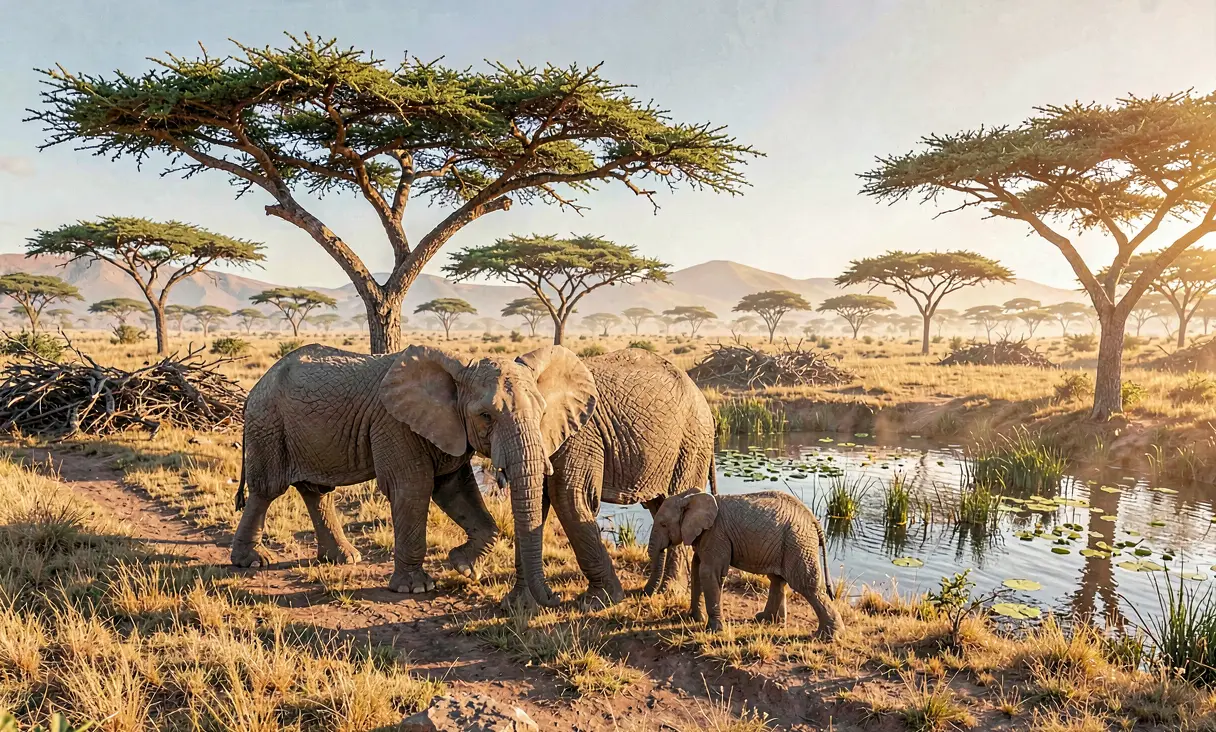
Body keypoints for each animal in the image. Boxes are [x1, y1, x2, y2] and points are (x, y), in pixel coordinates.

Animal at [231, 344, 501, 594]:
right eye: (485, 415)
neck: (458, 367)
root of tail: (253, 390)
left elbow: (453, 488)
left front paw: (466, 567)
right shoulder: (396, 425)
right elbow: (413, 487)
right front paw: (415, 589)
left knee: (316, 492)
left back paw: (344, 558)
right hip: (268, 424)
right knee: (267, 490)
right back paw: (254, 562)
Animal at [382, 345, 717, 608]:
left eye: (541, 413)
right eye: (485, 416)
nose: (554, 597)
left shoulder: (579, 435)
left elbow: (569, 499)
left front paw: (598, 602)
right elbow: (536, 504)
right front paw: (518, 606)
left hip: (693, 438)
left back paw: (668, 592)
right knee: (661, 507)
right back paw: (654, 591)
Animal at [648, 489, 842, 639]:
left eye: (663, 524)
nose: (647, 595)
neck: (690, 498)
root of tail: (815, 521)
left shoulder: (716, 534)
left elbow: (708, 573)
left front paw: (713, 631)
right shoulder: (704, 535)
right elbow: (697, 569)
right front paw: (694, 619)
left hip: (797, 542)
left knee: (806, 585)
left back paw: (826, 636)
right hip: (785, 545)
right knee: (778, 579)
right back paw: (766, 620)